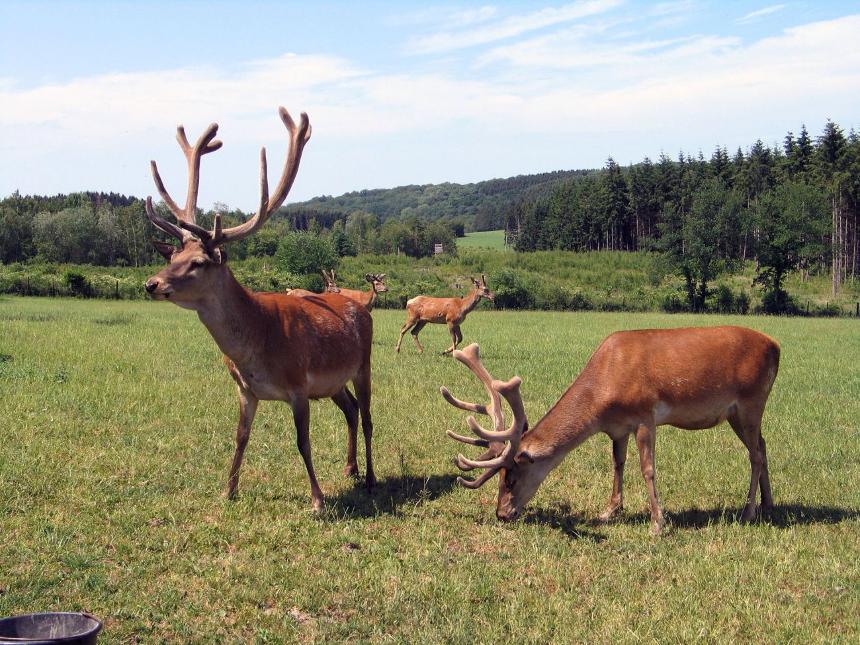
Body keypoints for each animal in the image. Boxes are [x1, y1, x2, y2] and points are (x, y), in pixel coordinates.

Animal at [144, 105, 376, 508]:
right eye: (173, 256)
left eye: (198, 262)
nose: (152, 283)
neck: (257, 344)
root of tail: (361, 306)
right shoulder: (245, 390)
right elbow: (240, 437)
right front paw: (228, 489)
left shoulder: (298, 385)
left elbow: (302, 441)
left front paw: (317, 499)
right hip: (333, 382)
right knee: (349, 410)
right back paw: (350, 469)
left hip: (363, 364)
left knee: (366, 417)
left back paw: (372, 477)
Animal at [440, 328, 784, 532]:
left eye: (510, 478)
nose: (502, 513)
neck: (602, 396)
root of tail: (776, 345)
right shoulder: (617, 428)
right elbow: (618, 463)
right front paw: (610, 511)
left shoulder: (645, 415)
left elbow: (647, 469)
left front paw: (658, 522)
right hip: (739, 413)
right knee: (763, 446)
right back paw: (768, 504)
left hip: (751, 400)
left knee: (755, 455)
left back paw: (748, 512)